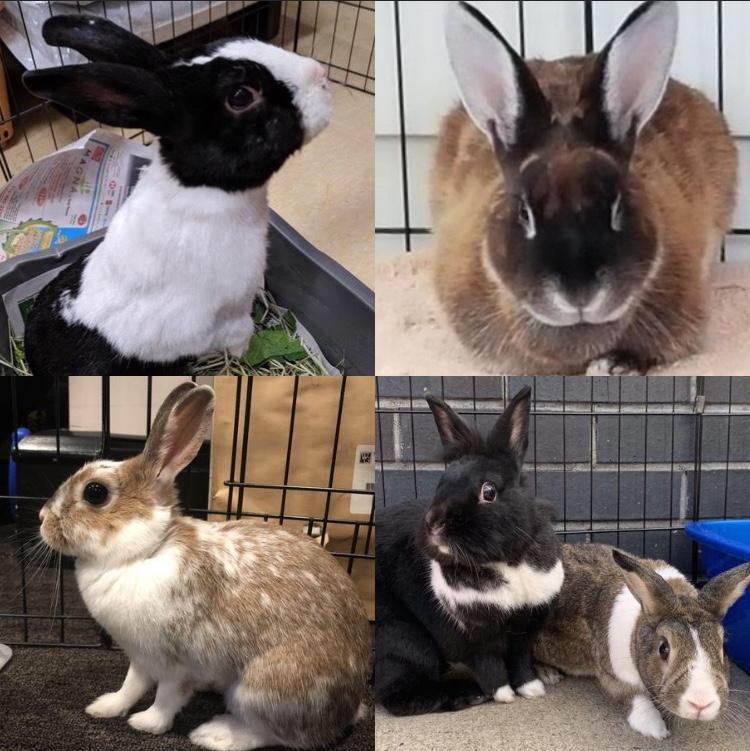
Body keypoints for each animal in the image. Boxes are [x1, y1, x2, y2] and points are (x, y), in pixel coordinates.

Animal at [21, 15, 331, 375]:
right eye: (240, 96)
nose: (321, 74)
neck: (200, 188)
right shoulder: (230, 314)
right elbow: (240, 336)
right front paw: (241, 355)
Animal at [37, 382, 371, 750]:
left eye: (95, 493)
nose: (41, 518)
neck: (146, 550)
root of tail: (348, 710)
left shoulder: (177, 663)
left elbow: (167, 697)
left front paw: (146, 723)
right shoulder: (140, 657)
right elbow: (131, 685)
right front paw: (105, 707)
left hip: (262, 689)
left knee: (274, 734)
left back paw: (213, 734)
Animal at [375, 386, 564, 716]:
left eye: (489, 491)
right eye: (440, 484)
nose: (433, 523)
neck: (508, 561)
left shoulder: (526, 628)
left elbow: (520, 662)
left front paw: (532, 689)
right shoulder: (472, 637)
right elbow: (490, 667)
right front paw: (503, 695)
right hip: (402, 637)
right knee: (399, 694)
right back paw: (466, 695)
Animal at [534, 543, 750, 739]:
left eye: (724, 647)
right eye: (664, 648)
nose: (701, 703)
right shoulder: (613, 678)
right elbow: (635, 696)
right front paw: (657, 730)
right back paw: (549, 675)